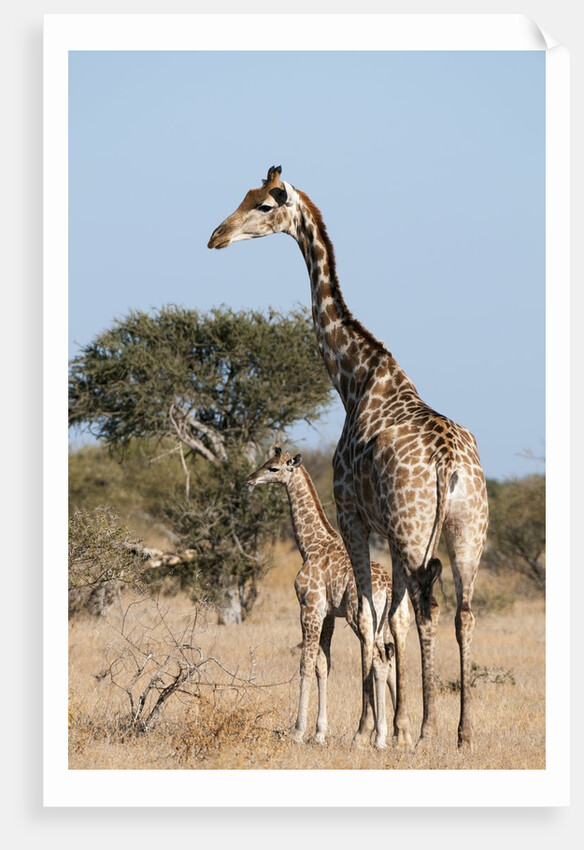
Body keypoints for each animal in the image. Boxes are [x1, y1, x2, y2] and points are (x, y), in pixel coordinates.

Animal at [247, 447, 403, 748]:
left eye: (274, 468)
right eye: (266, 462)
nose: (250, 479)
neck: (310, 545)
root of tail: (388, 588)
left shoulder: (310, 607)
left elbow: (305, 664)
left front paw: (298, 731)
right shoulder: (329, 613)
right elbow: (324, 665)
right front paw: (319, 733)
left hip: (358, 618)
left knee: (378, 661)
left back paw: (372, 736)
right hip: (384, 622)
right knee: (386, 661)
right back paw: (385, 736)